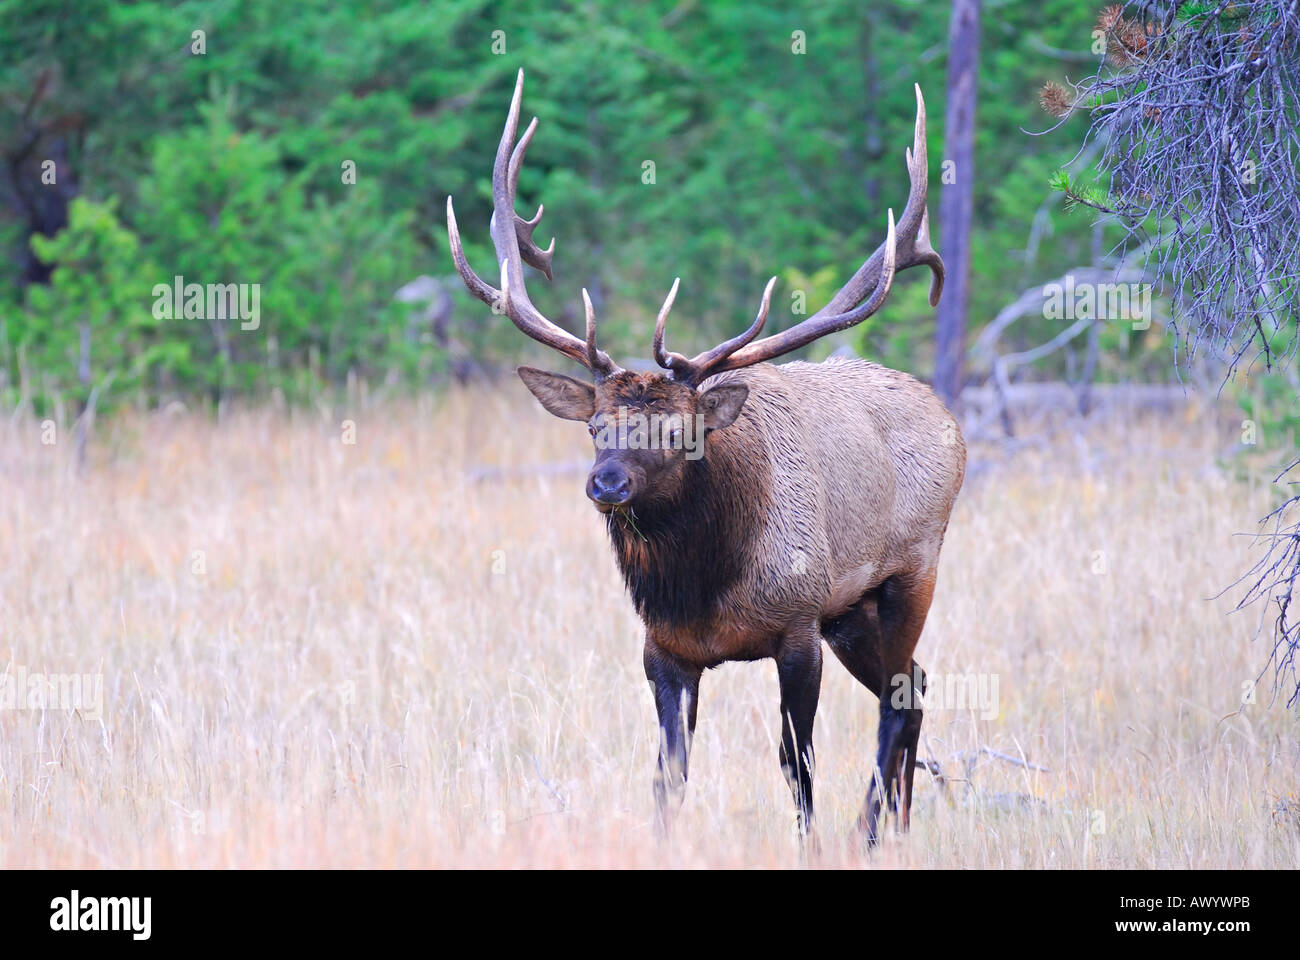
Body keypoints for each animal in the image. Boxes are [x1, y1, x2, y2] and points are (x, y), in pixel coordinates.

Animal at [447, 72, 967, 837]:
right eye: (595, 425)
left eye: (680, 432)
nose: (605, 484)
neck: (703, 587)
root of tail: (947, 416)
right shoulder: (664, 649)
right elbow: (669, 775)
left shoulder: (797, 625)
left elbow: (796, 764)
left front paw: (810, 843)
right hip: (852, 614)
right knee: (917, 688)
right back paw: (897, 827)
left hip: (910, 572)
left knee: (897, 701)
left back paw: (869, 831)